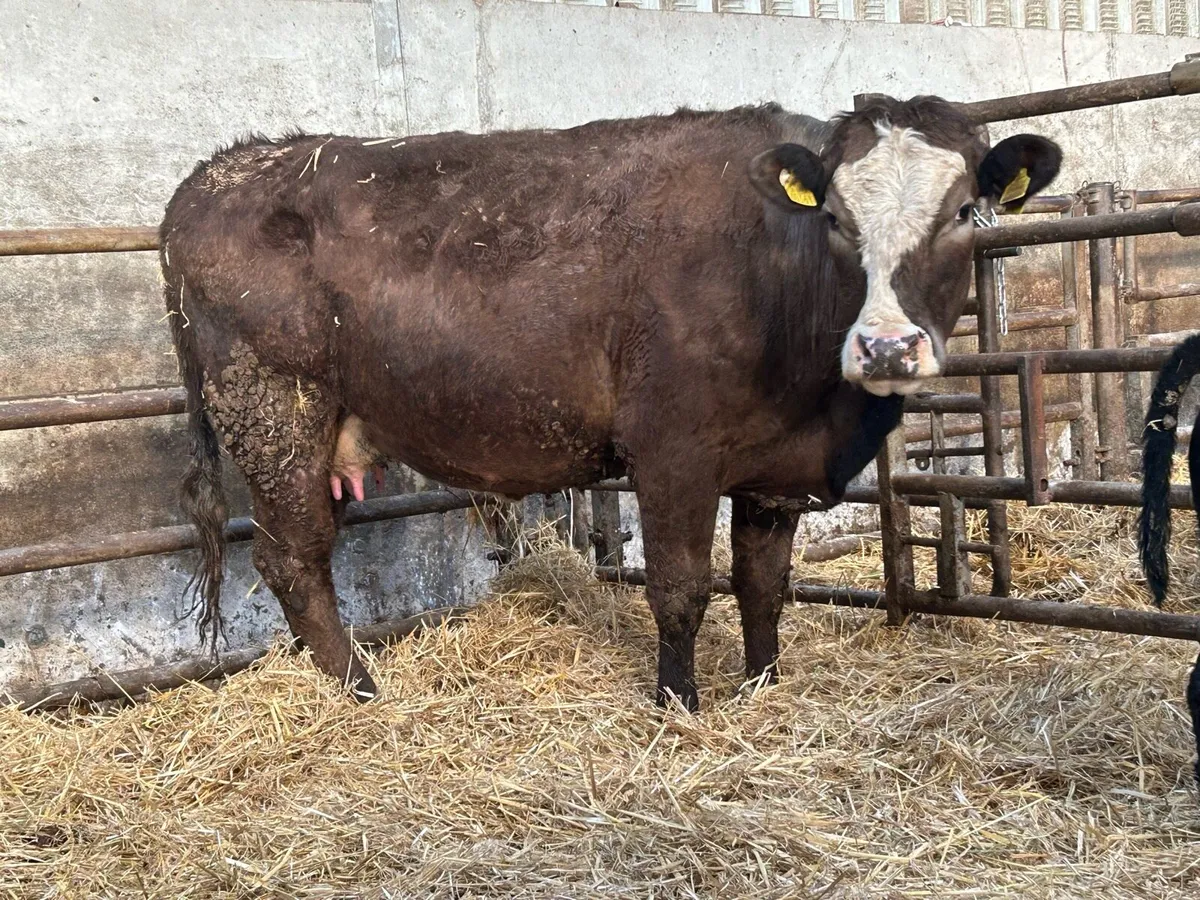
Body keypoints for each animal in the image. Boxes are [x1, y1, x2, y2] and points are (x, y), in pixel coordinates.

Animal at [161, 96, 1061, 709]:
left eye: (963, 211)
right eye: (836, 218)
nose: (886, 346)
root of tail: (222, 171)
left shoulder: (773, 470)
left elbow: (763, 584)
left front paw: (762, 685)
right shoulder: (673, 451)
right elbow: (681, 585)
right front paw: (678, 702)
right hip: (276, 412)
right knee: (294, 559)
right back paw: (360, 689)